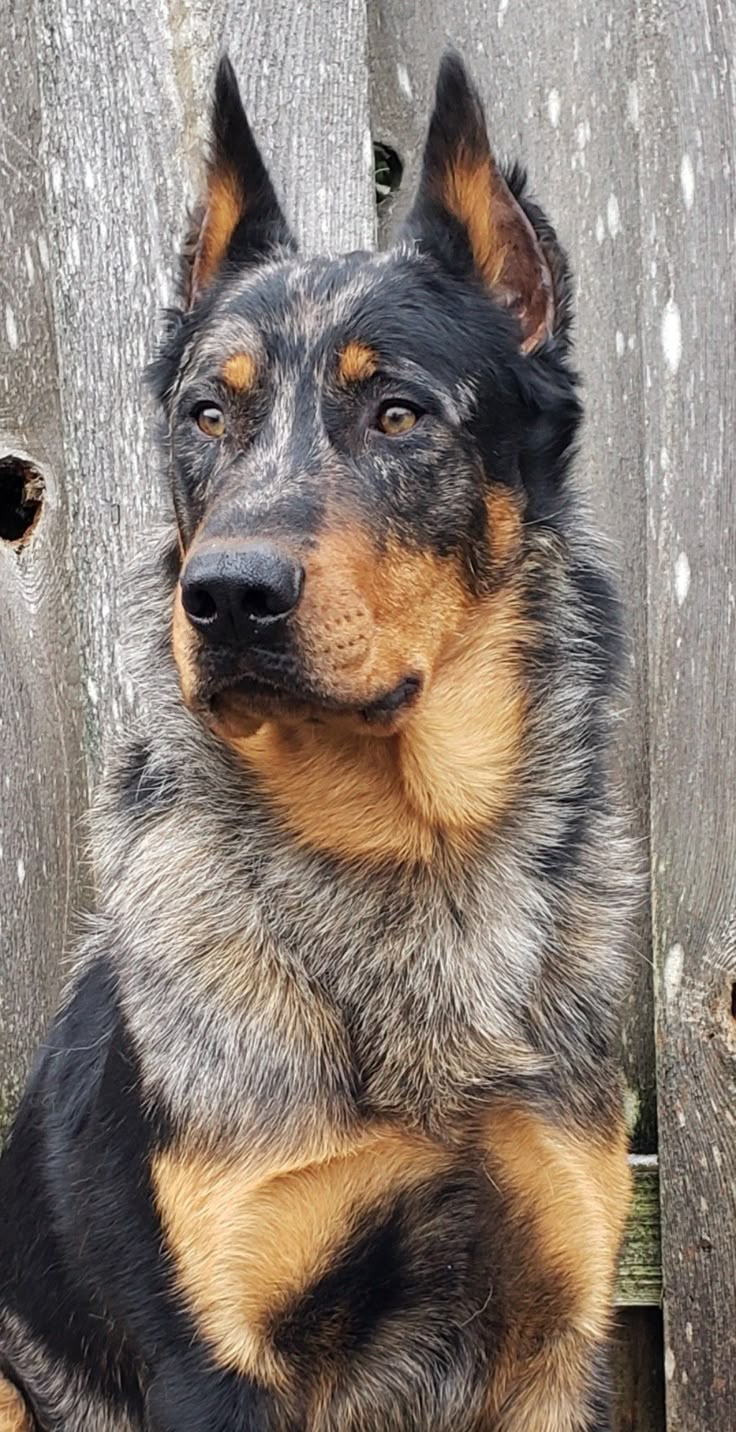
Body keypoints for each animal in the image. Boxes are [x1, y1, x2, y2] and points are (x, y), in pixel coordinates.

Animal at [0, 50, 630, 1432]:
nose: (226, 597)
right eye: (203, 416)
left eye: (396, 413)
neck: (400, 858)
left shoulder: (554, 1336)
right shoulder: (215, 1355)